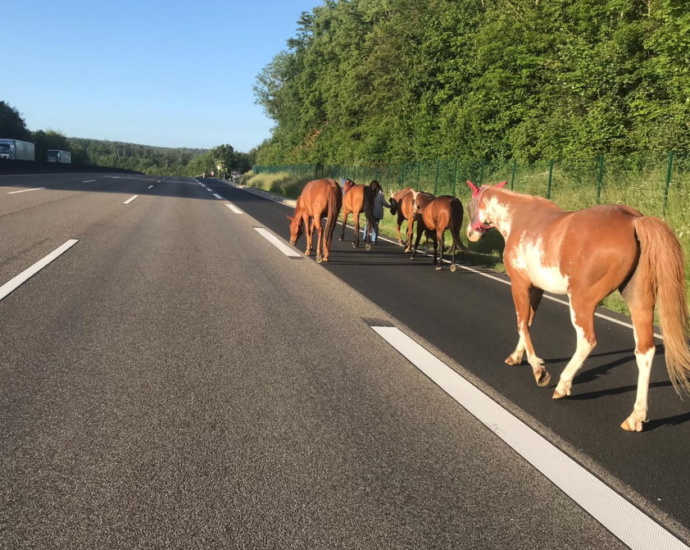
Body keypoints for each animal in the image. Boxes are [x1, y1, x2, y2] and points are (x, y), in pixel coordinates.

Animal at [462, 181, 688, 432]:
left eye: (470, 205)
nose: (470, 233)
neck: (518, 217)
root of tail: (634, 220)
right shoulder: (537, 289)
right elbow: (528, 322)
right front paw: (516, 356)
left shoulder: (519, 283)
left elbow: (521, 322)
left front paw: (538, 370)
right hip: (639, 301)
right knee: (645, 350)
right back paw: (635, 417)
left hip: (581, 301)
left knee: (587, 341)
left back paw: (563, 384)